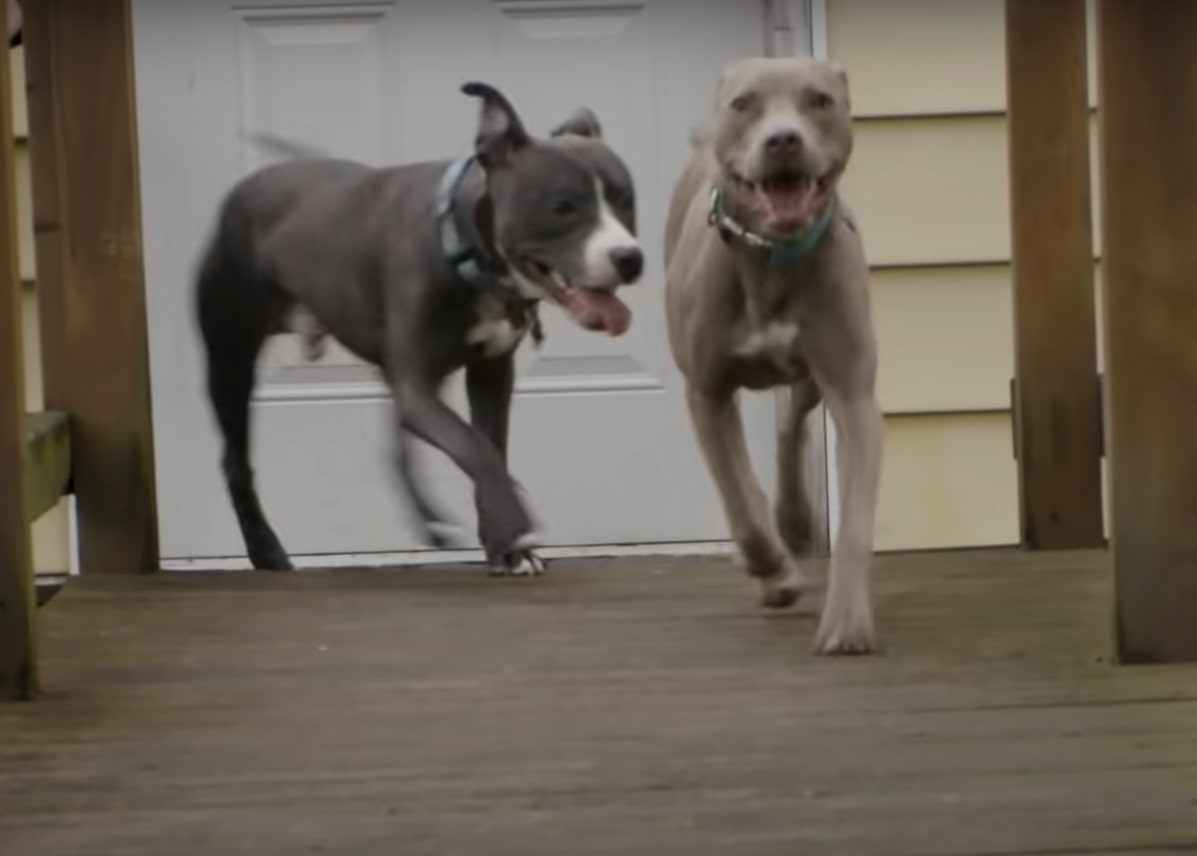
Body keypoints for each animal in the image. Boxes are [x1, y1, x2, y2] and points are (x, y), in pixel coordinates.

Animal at [196, 82, 646, 577]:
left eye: (626, 200)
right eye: (562, 206)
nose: (630, 257)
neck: (464, 246)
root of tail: (245, 186)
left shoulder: (488, 374)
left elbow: (487, 447)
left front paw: (506, 548)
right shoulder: (418, 384)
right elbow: (478, 450)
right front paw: (515, 526)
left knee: (395, 446)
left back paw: (428, 520)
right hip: (230, 357)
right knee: (235, 460)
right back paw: (266, 551)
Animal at [670, 56, 885, 651]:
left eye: (819, 99)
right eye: (744, 103)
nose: (784, 139)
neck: (771, 257)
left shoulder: (853, 392)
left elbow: (856, 516)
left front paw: (847, 620)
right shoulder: (706, 392)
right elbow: (740, 502)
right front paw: (773, 570)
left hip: (811, 377)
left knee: (792, 427)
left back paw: (795, 518)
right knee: (748, 483)